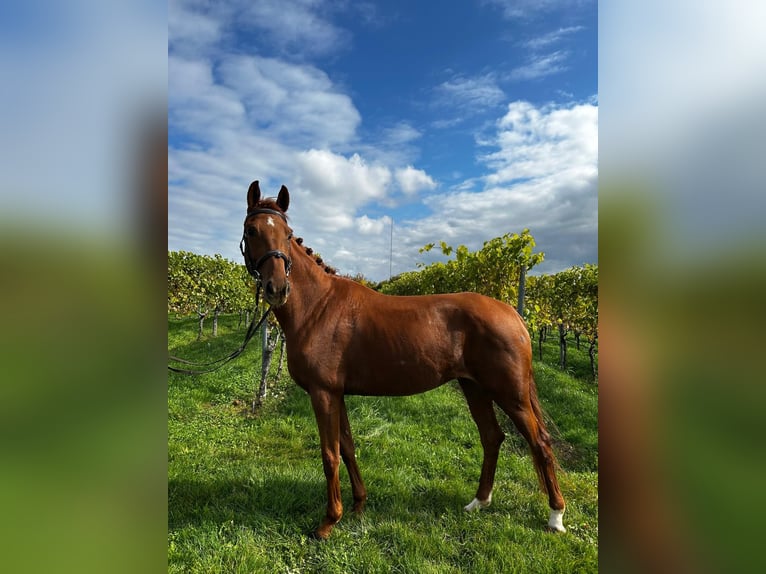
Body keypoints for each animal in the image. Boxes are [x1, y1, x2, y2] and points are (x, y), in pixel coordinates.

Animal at [240, 180, 566, 539]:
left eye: (287, 233)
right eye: (252, 230)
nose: (277, 289)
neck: (318, 307)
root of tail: (512, 313)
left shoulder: (322, 393)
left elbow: (329, 455)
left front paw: (328, 522)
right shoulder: (337, 394)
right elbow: (347, 447)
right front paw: (358, 505)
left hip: (511, 393)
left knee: (540, 442)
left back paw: (555, 517)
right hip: (475, 388)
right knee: (492, 437)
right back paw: (478, 503)